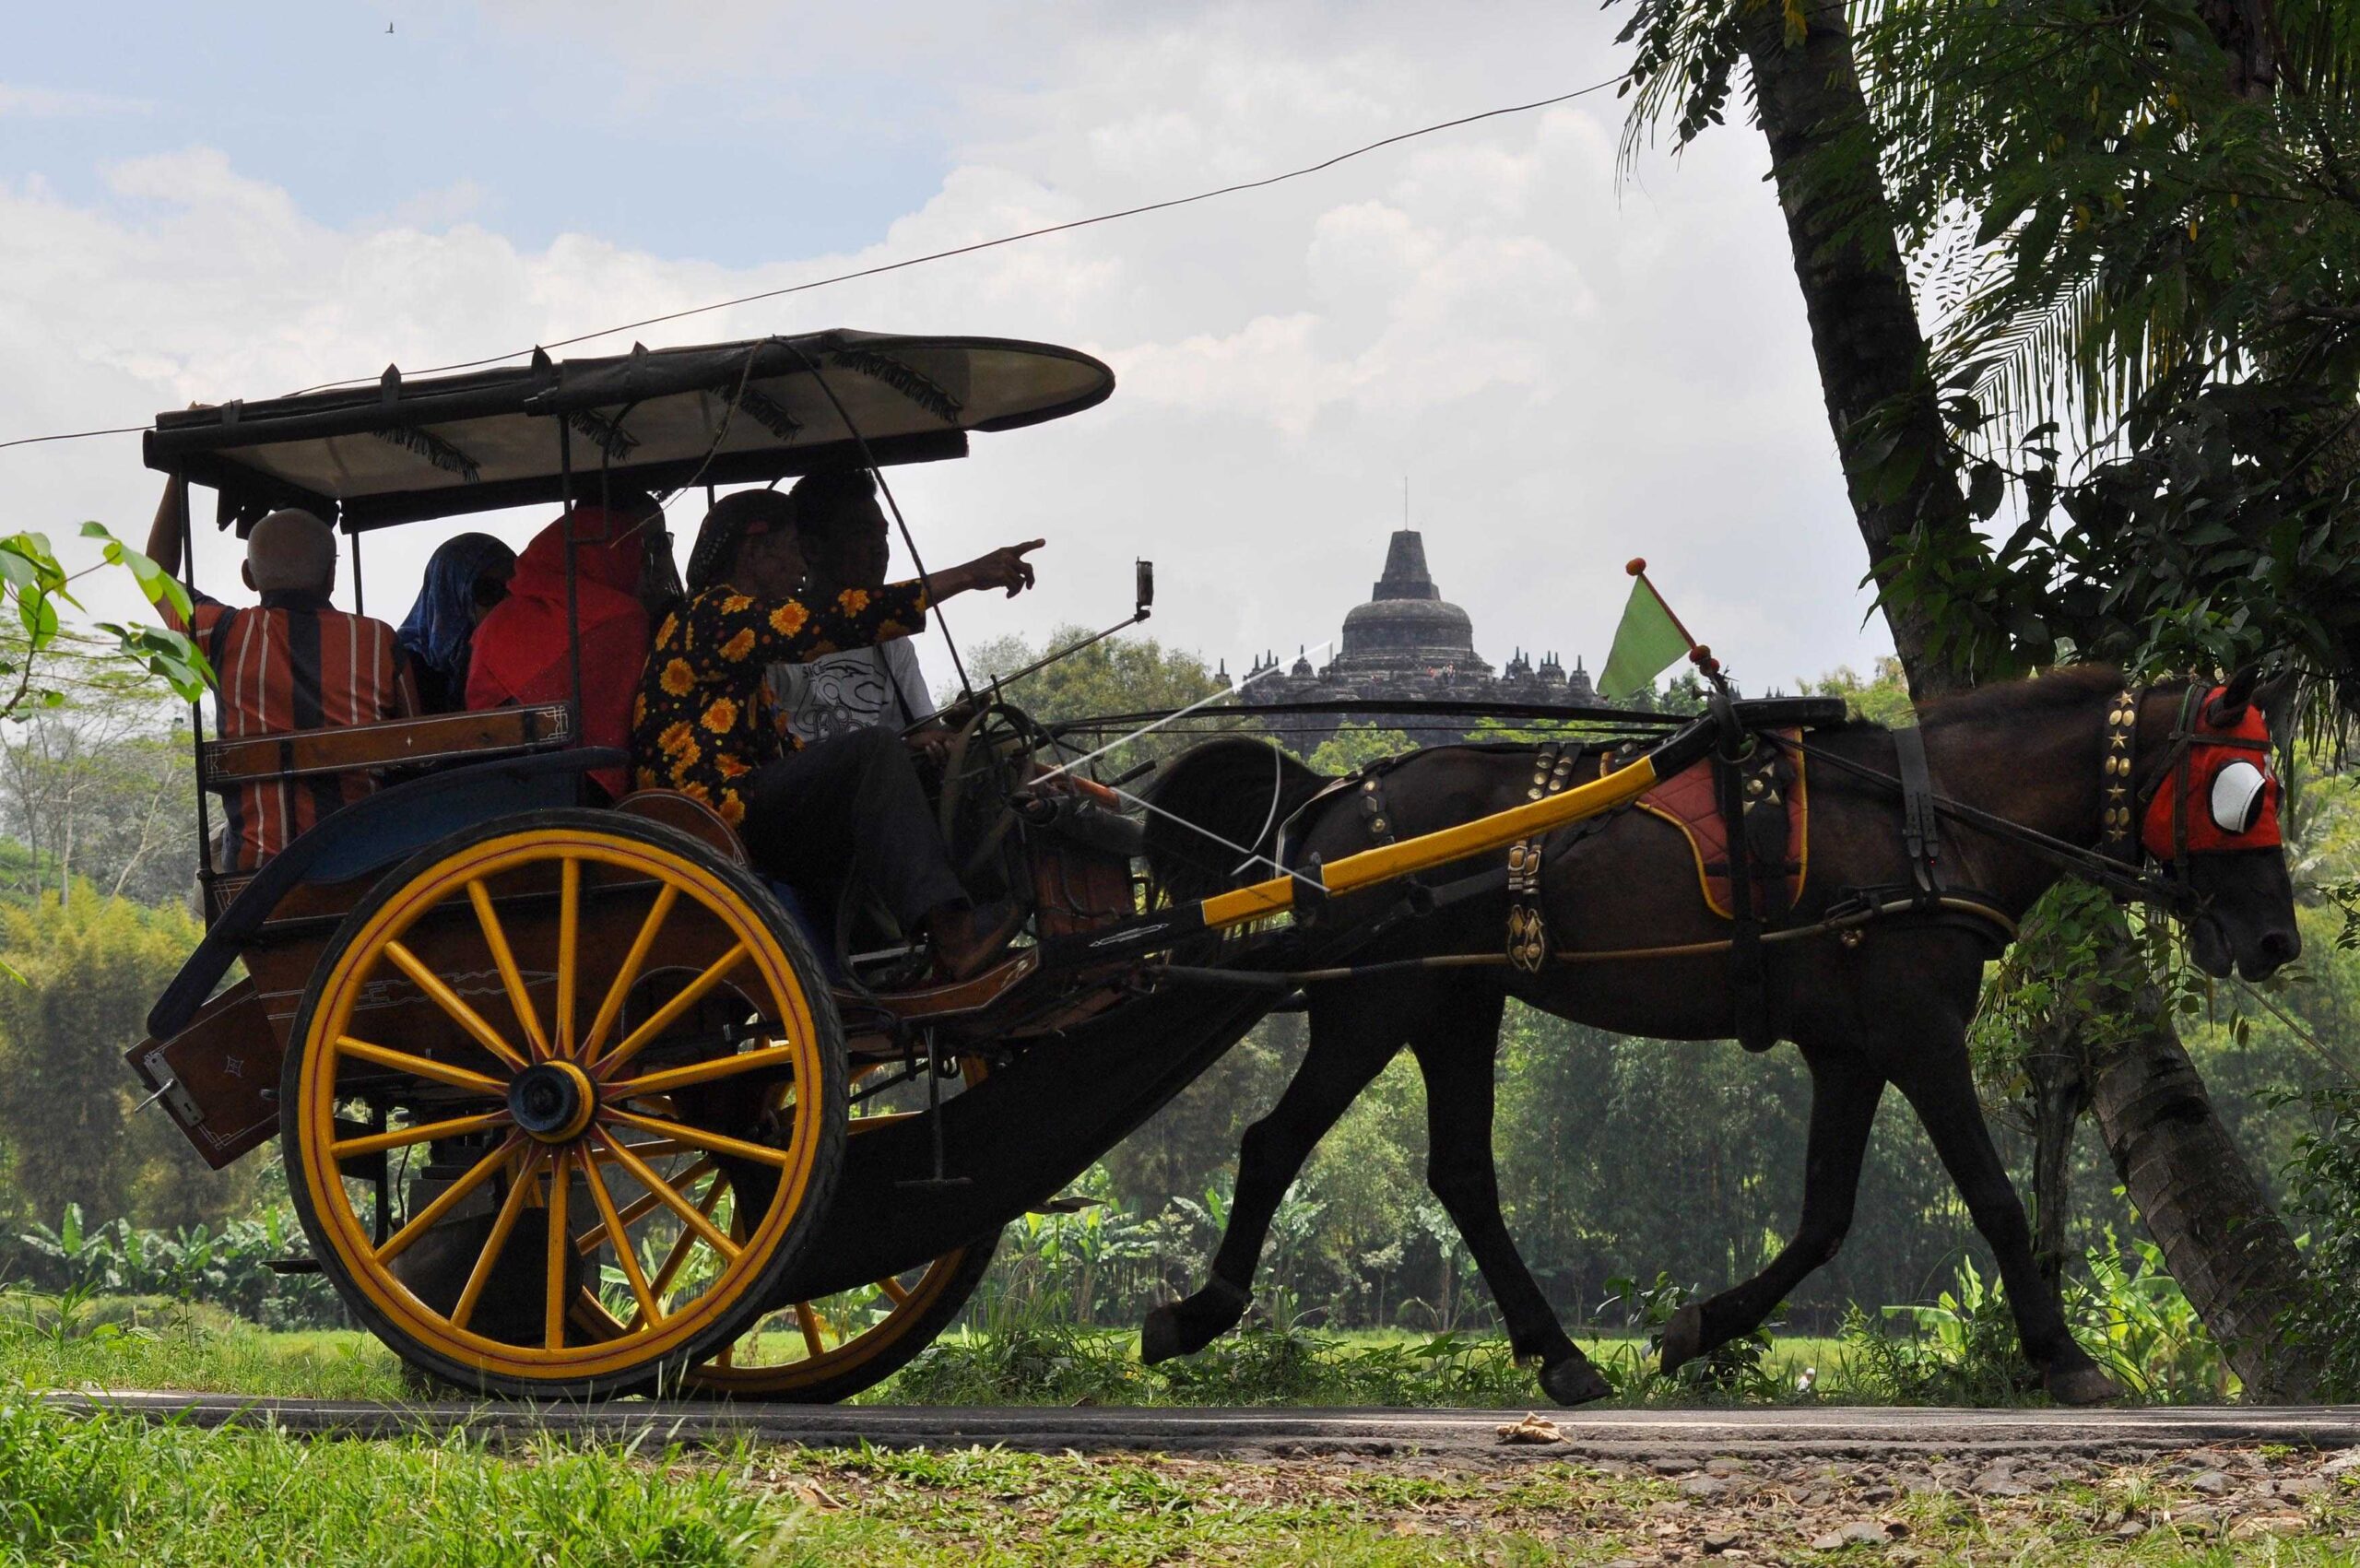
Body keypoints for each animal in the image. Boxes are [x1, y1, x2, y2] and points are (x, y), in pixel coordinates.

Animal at [1134, 665, 2299, 1407]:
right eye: (2241, 795)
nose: (2275, 940)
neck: (1930, 819)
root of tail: (1334, 795)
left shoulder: (1849, 1047)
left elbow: (1825, 1217)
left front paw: (1696, 1326)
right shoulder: (1917, 1029)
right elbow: (1996, 1200)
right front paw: (2062, 1357)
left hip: (1451, 1001)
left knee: (1460, 1171)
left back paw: (1561, 1356)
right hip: (1373, 1002)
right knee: (1274, 1143)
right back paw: (1195, 1315)